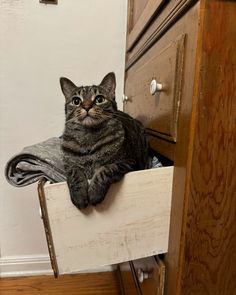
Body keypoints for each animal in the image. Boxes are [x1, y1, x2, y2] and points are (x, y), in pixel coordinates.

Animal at [60, 72, 149, 209]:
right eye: (76, 101)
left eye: (99, 99)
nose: (87, 106)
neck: (89, 135)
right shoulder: (68, 166)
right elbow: (74, 173)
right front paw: (79, 196)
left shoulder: (128, 162)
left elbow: (106, 169)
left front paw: (94, 193)